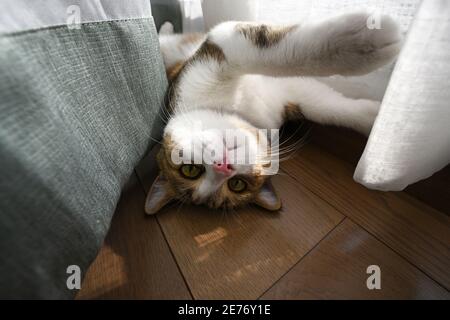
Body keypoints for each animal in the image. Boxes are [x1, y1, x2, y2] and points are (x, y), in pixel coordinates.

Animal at [145, 11, 400, 214]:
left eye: (189, 170)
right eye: (238, 185)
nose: (223, 167)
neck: (238, 108)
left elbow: (326, 107)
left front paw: (377, 120)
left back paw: (165, 26)